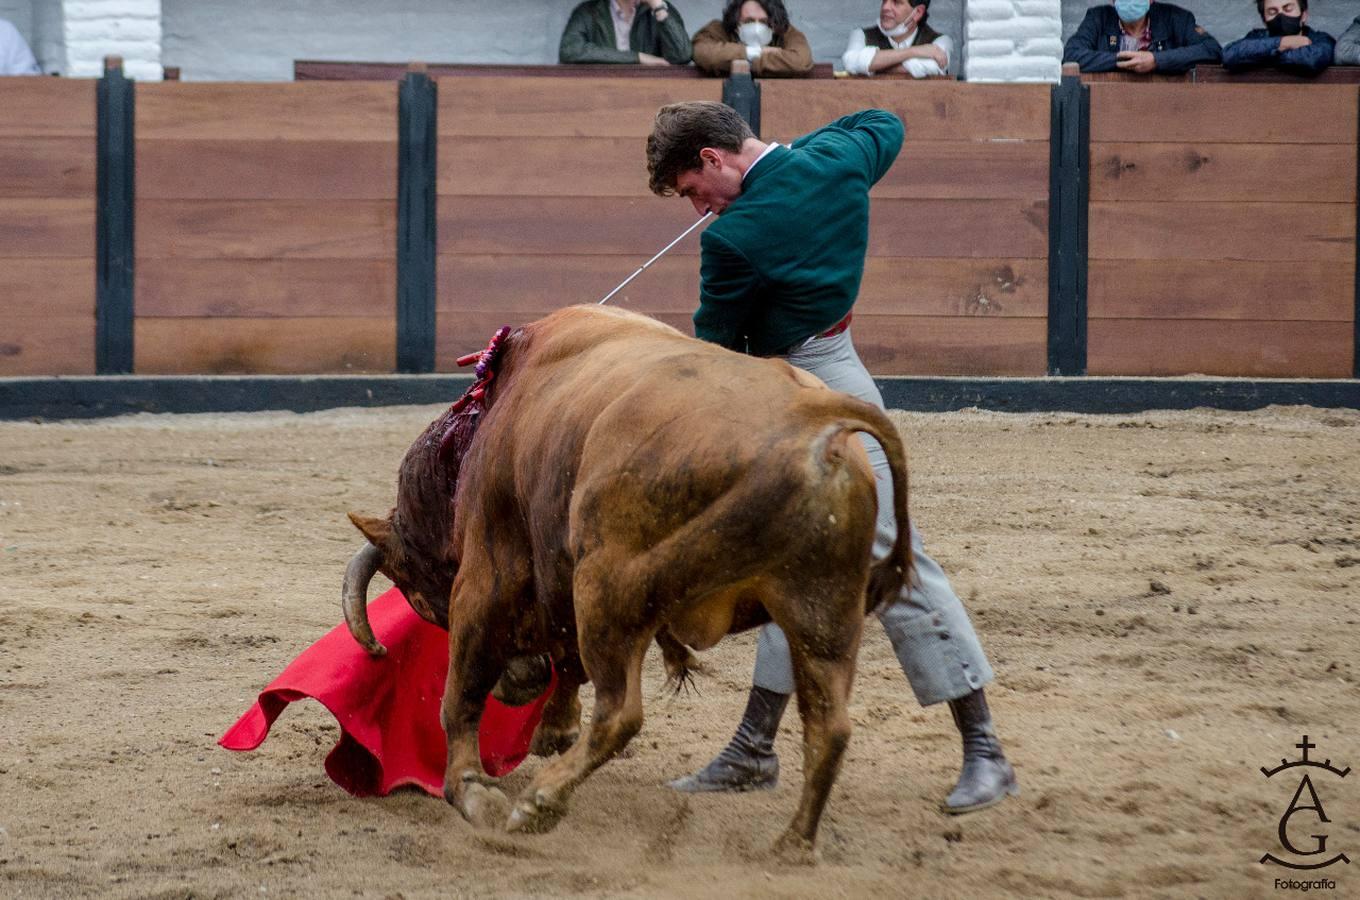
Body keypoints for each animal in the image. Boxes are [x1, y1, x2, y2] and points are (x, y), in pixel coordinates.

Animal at [340, 304, 913, 853]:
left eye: (418, 596)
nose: (520, 684)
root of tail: (807, 414)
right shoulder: (557, 578)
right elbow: (566, 659)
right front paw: (552, 728)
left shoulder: (488, 571)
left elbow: (461, 691)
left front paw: (471, 790)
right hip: (823, 608)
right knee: (829, 727)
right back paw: (791, 845)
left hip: (608, 585)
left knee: (621, 712)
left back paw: (539, 802)